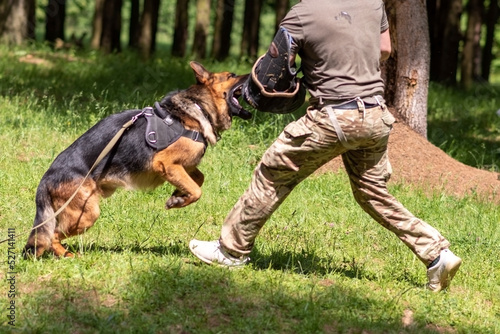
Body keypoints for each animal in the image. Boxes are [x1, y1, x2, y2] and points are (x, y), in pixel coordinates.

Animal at [23, 61, 250, 258]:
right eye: (231, 75)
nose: (252, 74)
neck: (198, 107)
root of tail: (46, 179)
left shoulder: (185, 166)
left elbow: (199, 179)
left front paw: (178, 195)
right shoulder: (165, 164)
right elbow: (197, 190)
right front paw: (179, 199)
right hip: (87, 214)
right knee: (52, 236)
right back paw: (66, 255)